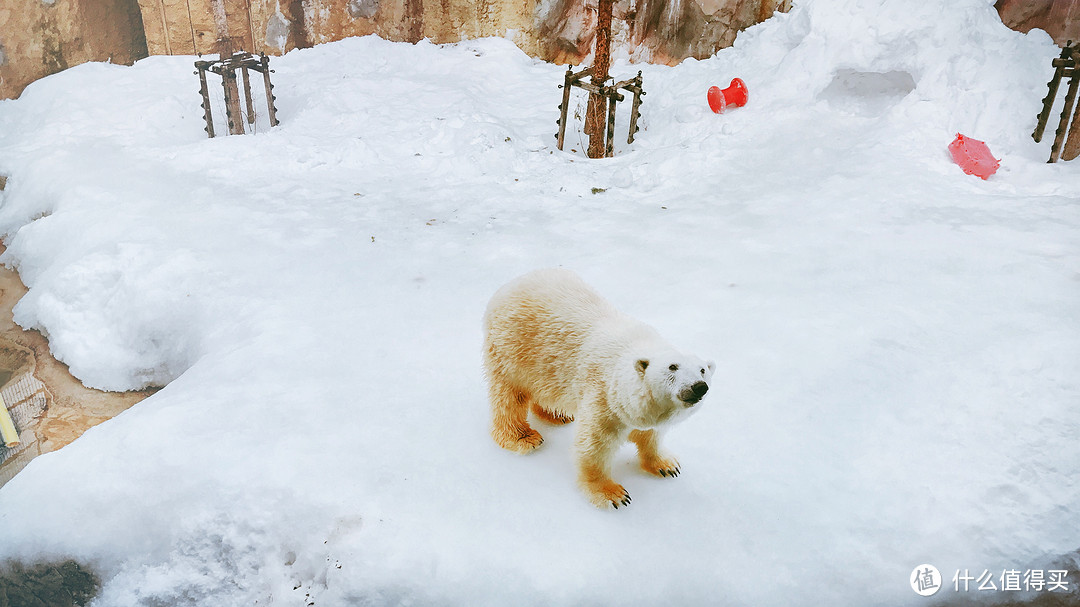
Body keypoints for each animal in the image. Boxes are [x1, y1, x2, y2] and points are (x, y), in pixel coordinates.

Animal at [486, 266, 712, 507]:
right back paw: (523, 438)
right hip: (514, 348)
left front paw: (667, 465)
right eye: (673, 367)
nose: (699, 386)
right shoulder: (604, 397)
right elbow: (595, 446)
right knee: (510, 396)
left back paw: (558, 415)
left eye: (702, 370)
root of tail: (510, 284)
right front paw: (612, 494)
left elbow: (650, 436)